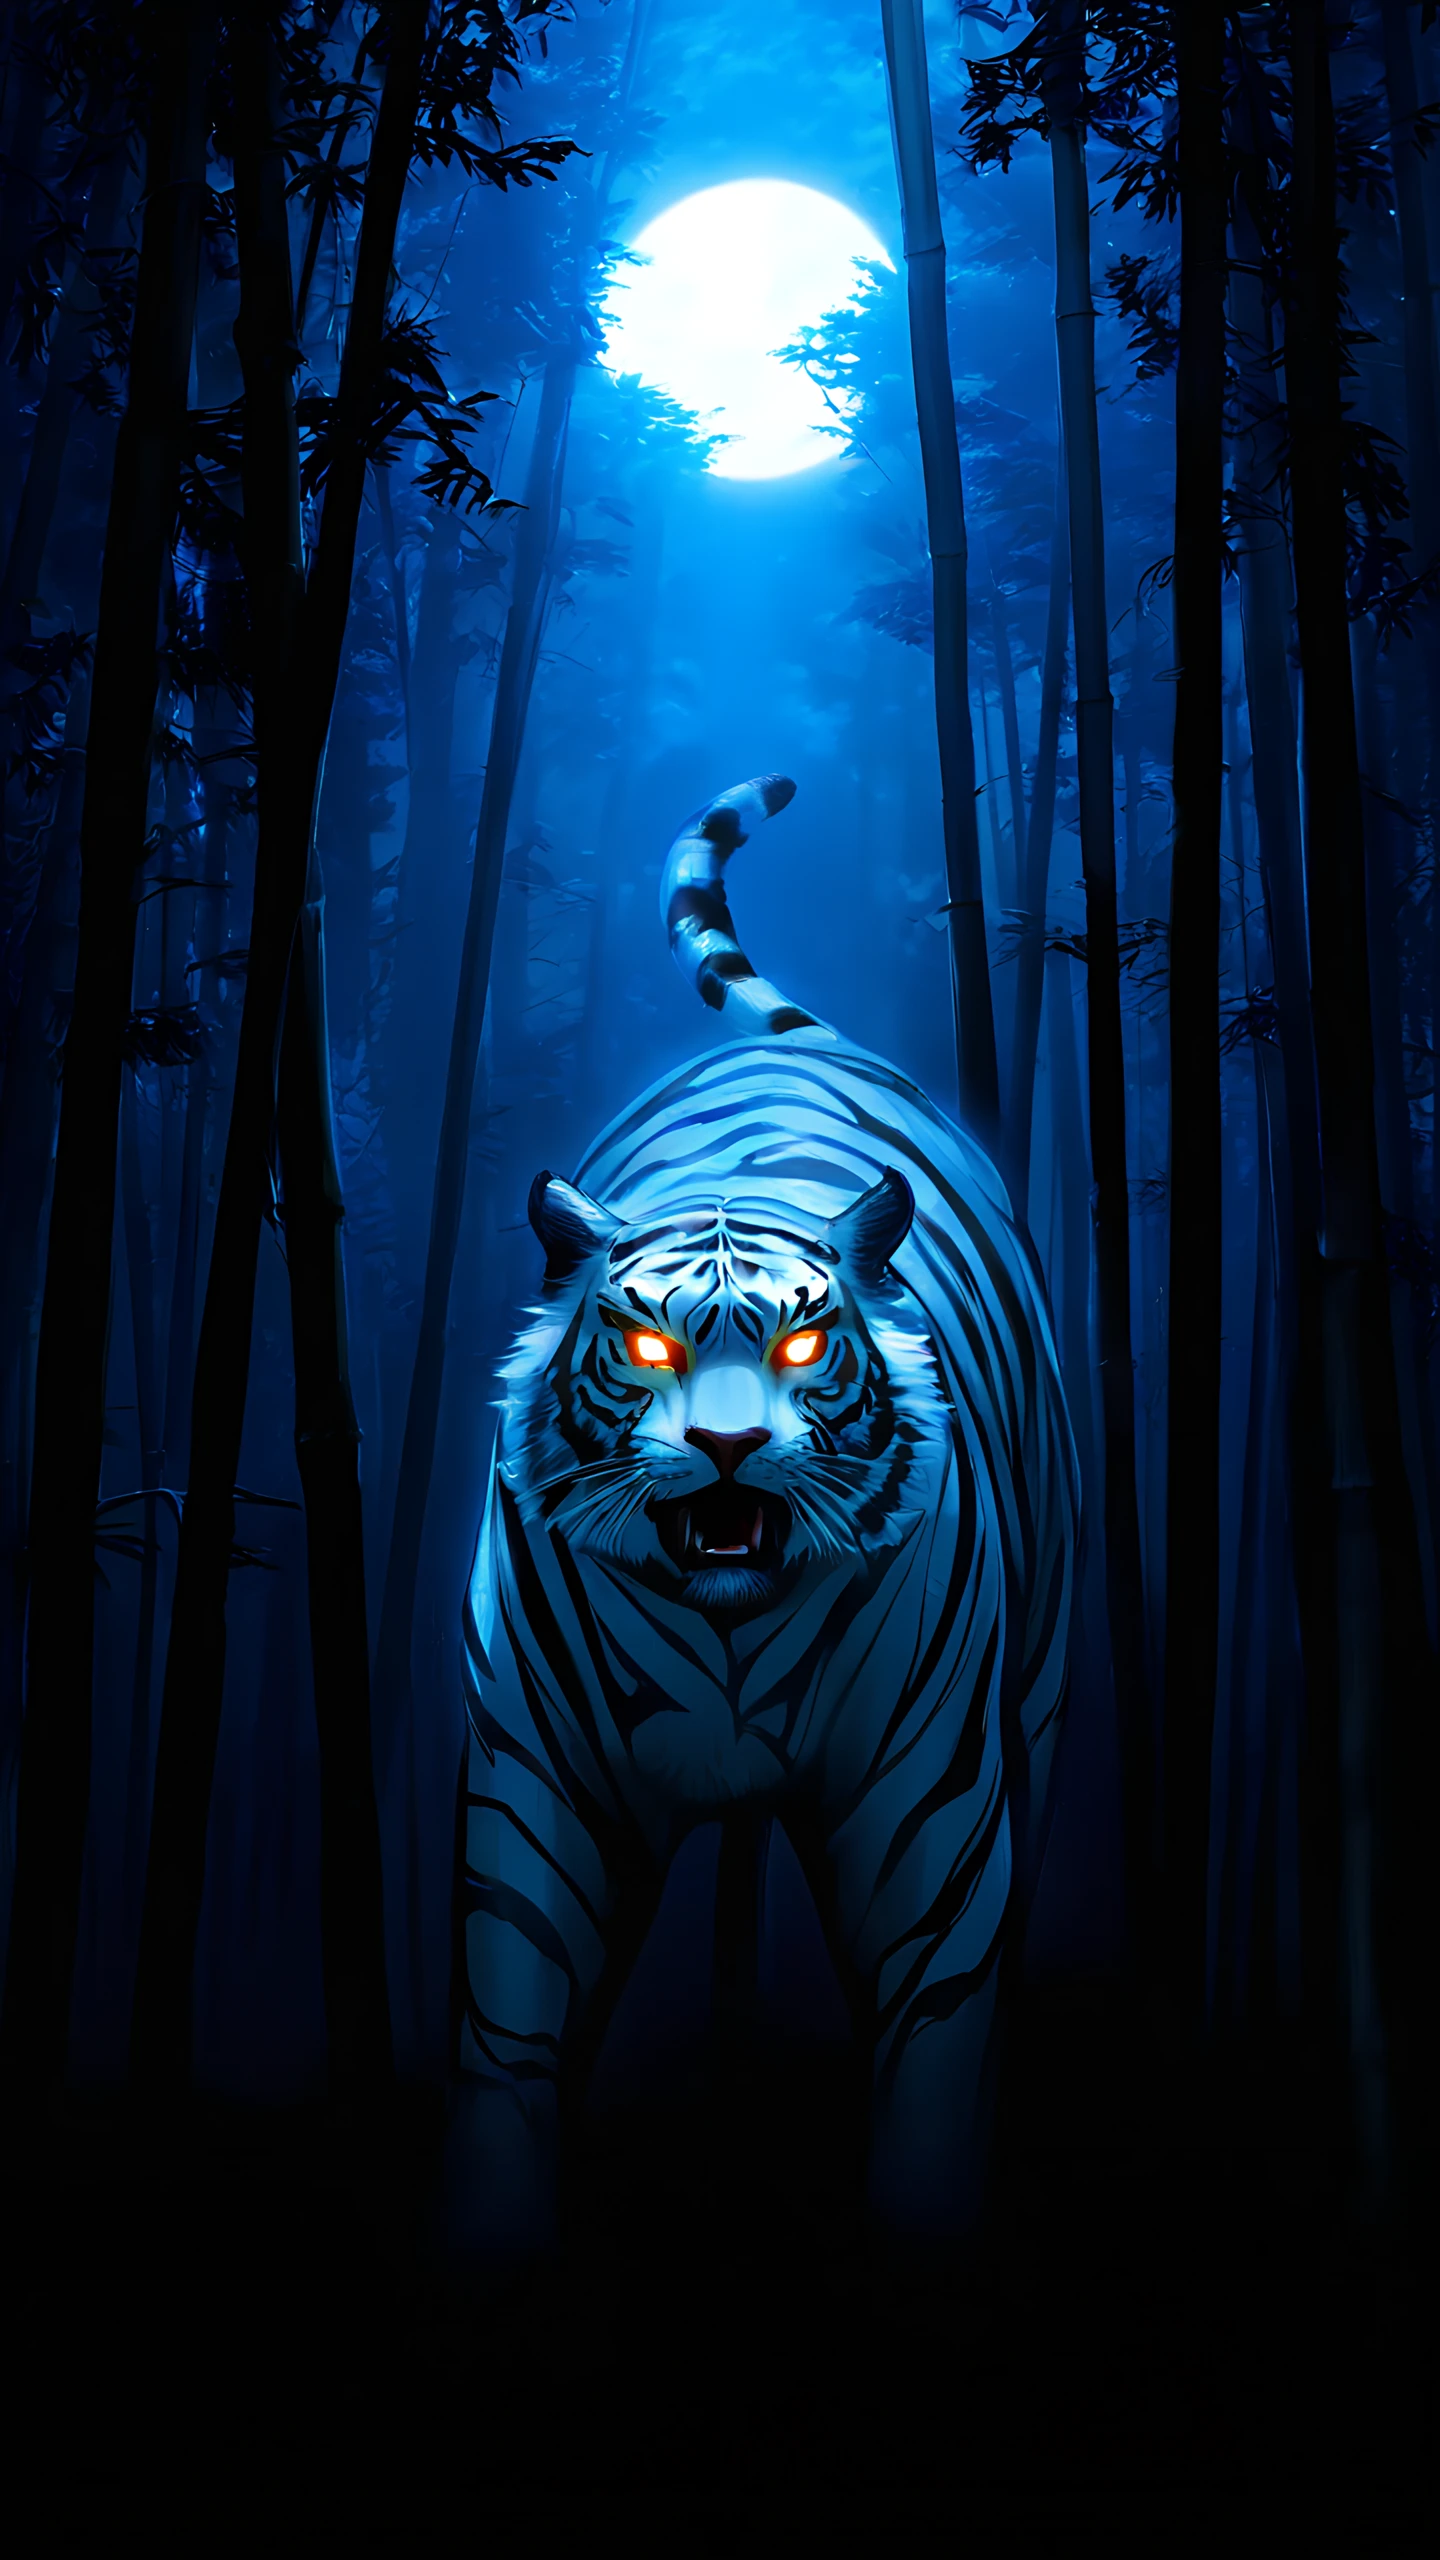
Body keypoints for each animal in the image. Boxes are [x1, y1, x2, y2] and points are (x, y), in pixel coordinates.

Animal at [442, 771, 1078, 2279]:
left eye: (799, 1345)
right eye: (647, 1349)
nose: (727, 1448)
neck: (728, 1631)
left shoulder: (931, 1810)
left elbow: (933, 2071)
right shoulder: (539, 1785)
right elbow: (509, 2048)